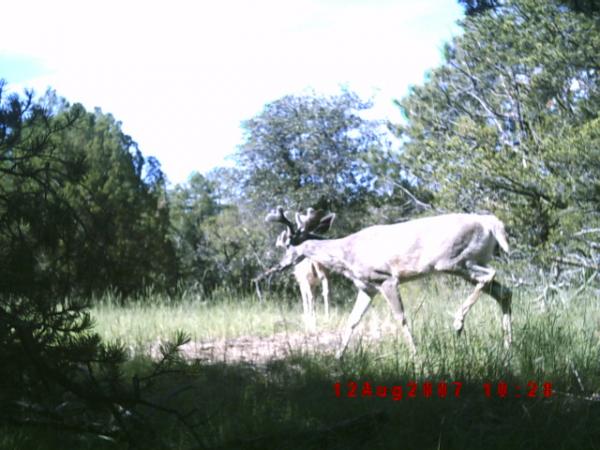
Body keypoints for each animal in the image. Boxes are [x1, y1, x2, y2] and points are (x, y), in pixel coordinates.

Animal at [258, 207, 510, 358]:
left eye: (287, 243)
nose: (280, 265)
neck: (346, 253)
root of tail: (491, 223)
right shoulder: (367, 288)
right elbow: (353, 320)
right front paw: (338, 356)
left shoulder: (386, 279)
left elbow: (401, 317)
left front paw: (415, 355)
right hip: (468, 262)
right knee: (504, 291)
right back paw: (508, 346)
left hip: (454, 260)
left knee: (491, 275)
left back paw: (458, 322)